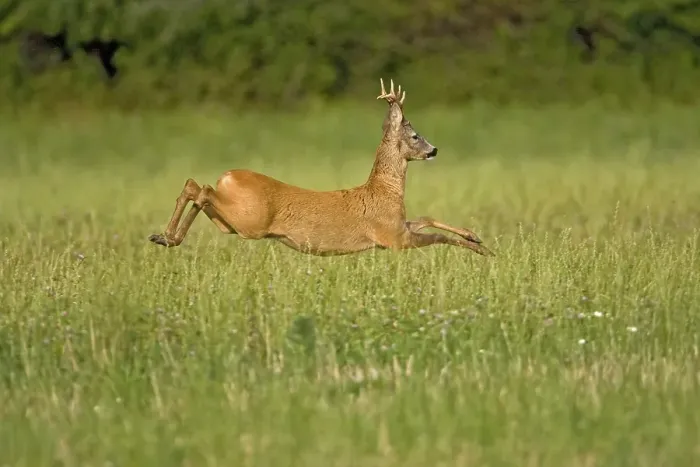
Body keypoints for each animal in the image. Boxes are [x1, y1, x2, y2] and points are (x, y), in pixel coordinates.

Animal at [148, 79, 494, 257]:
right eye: (415, 135)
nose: (434, 150)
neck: (385, 191)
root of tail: (228, 176)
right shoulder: (392, 238)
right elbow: (435, 235)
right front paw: (482, 251)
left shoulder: (398, 226)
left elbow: (426, 218)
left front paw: (476, 238)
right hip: (250, 221)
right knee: (200, 188)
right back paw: (167, 237)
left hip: (231, 223)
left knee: (197, 187)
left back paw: (165, 238)